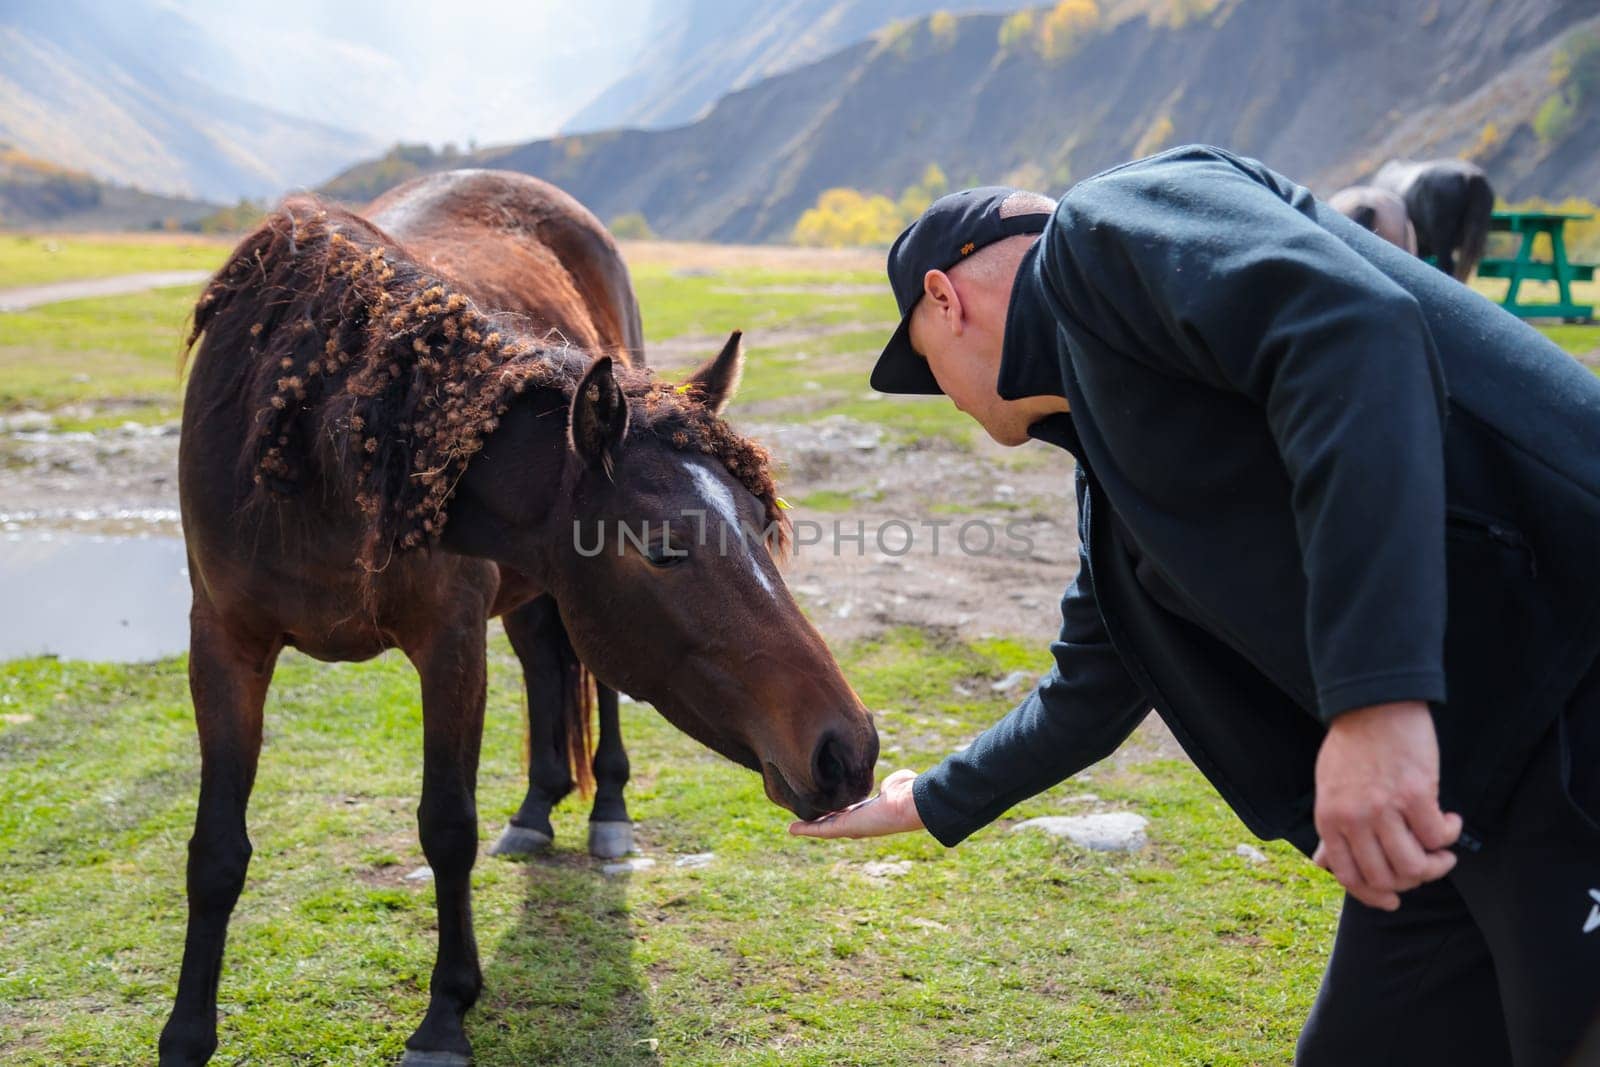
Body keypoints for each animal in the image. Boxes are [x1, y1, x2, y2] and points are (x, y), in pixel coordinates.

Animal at [162, 171, 876, 1062]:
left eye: (761, 522)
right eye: (662, 547)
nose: (849, 748)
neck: (317, 438)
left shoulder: (450, 642)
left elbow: (446, 824)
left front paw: (444, 1012)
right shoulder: (222, 644)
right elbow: (216, 849)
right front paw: (186, 1032)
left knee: (594, 686)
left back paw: (607, 813)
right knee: (544, 661)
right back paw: (538, 809)